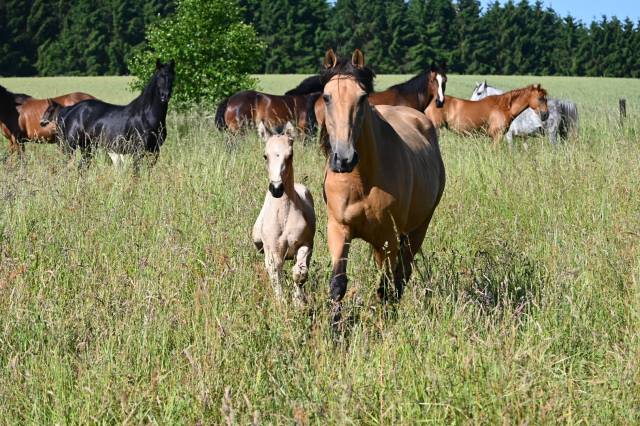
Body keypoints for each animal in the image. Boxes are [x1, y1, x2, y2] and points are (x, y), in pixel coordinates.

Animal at [39, 59, 175, 172]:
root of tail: (71, 110)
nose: (165, 96)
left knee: (82, 168)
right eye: (160, 76)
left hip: (87, 147)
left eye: (172, 77)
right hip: (70, 147)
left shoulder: (155, 151)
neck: (146, 117)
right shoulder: (139, 151)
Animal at [252, 121, 316, 306]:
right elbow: (275, 272)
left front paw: (298, 302)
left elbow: (300, 273)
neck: (284, 217)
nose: (277, 189)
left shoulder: (305, 244)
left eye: (290, 155)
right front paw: (281, 303)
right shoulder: (272, 250)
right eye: (265, 156)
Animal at [320, 48, 446, 328]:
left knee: (400, 275)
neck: (360, 180)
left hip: (416, 230)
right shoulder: (339, 229)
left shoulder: (389, 237)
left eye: (362, 97)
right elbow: (338, 283)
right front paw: (334, 329)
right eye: (326, 96)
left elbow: (386, 285)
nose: (343, 159)